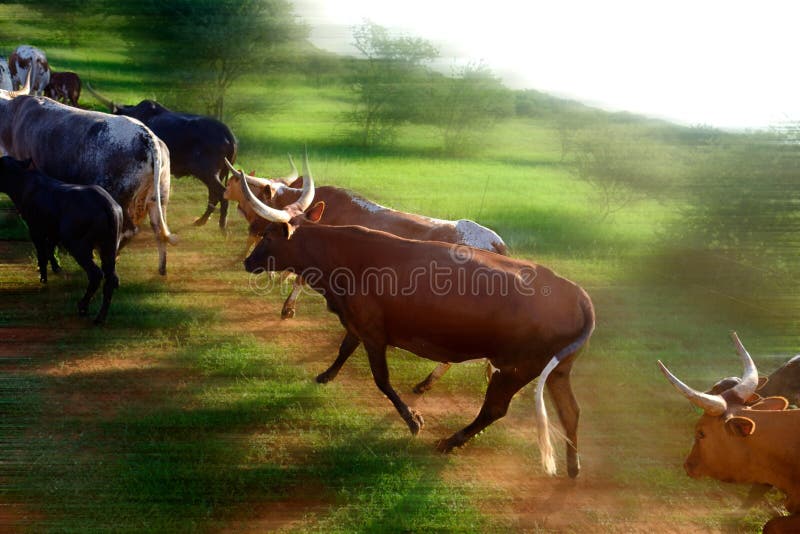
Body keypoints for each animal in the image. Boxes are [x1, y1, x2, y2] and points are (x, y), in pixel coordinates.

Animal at [0, 90, 177, 275]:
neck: (13, 114)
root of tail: (148, 137)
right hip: (159, 198)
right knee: (159, 230)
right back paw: (161, 269)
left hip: (120, 197)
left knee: (129, 231)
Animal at [0, 156, 122, 324]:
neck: (23, 182)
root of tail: (107, 204)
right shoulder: (53, 232)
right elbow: (50, 249)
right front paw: (56, 268)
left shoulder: (35, 230)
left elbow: (42, 254)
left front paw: (43, 278)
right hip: (109, 248)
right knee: (112, 279)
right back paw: (100, 317)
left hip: (77, 245)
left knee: (96, 274)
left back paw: (83, 306)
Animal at [87, 85, 238, 229]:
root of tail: (229, 136)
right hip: (217, 173)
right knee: (215, 195)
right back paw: (202, 221)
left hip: (207, 172)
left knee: (220, 194)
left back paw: (221, 225)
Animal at [225, 159, 508, 393]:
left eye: (263, 205)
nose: (250, 226)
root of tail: (496, 243)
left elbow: (300, 280)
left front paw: (287, 308)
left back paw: (425, 383)